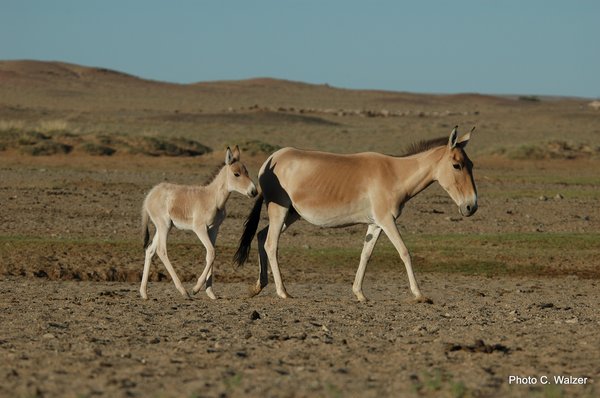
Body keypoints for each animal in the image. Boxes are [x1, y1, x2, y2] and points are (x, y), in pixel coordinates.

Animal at [141, 148, 258, 300]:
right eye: (236, 174)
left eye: (247, 171)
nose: (254, 191)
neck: (213, 198)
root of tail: (151, 193)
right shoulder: (200, 228)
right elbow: (212, 252)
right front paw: (196, 289)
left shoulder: (214, 229)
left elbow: (211, 254)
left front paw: (211, 293)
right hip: (164, 226)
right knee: (161, 250)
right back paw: (183, 291)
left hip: (162, 227)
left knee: (150, 250)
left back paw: (144, 292)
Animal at [234, 127, 478, 302]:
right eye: (456, 165)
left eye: (471, 164)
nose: (471, 207)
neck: (395, 175)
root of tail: (271, 159)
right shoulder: (387, 220)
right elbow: (404, 252)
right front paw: (419, 294)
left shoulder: (376, 224)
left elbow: (366, 255)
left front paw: (359, 293)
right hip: (280, 210)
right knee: (271, 243)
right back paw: (283, 291)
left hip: (291, 214)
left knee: (261, 236)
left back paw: (258, 286)